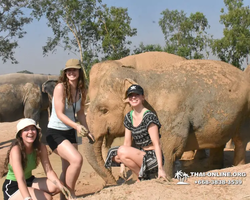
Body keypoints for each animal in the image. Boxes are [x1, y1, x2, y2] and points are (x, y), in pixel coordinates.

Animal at [83, 57, 250, 184]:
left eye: (103, 110)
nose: (115, 182)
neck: (140, 76)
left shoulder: (170, 115)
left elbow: (168, 148)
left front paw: (163, 178)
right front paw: (140, 180)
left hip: (245, 111)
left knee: (241, 140)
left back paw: (237, 166)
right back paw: (212, 168)